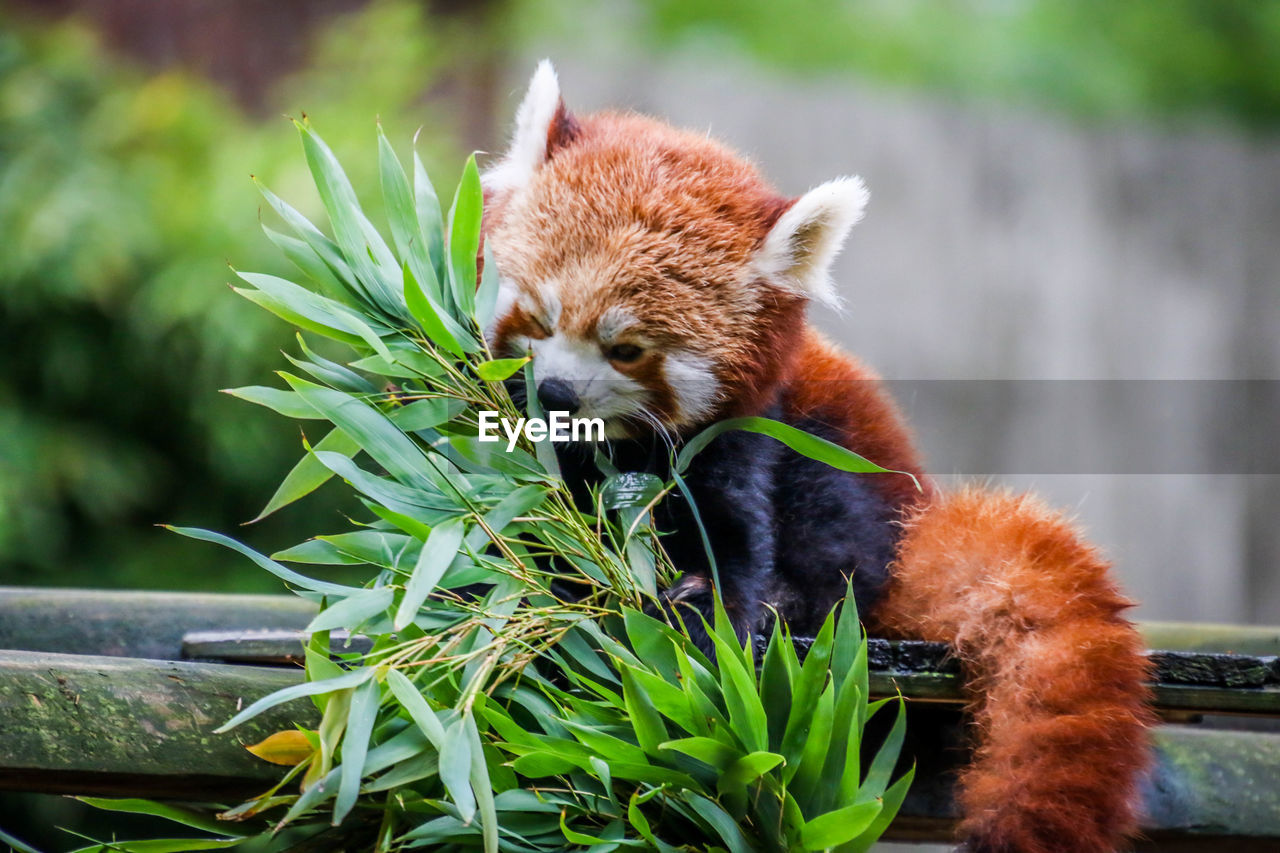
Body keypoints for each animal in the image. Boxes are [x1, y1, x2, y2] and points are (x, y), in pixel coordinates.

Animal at [478, 63, 1152, 850]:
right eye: (539, 315)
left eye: (627, 348)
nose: (555, 392)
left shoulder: (743, 434)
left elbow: (729, 542)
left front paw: (696, 605)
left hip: (845, 447)